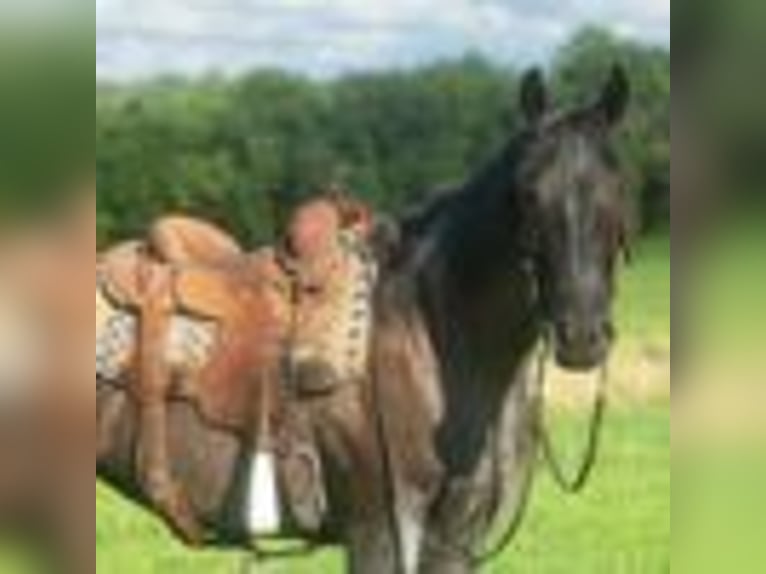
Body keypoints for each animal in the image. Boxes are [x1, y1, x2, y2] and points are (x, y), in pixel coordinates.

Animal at [97, 66, 630, 573]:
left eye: (614, 189)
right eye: (528, 193)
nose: (581, 335)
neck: (431, 336)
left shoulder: (455, 537)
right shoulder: (379, 531)